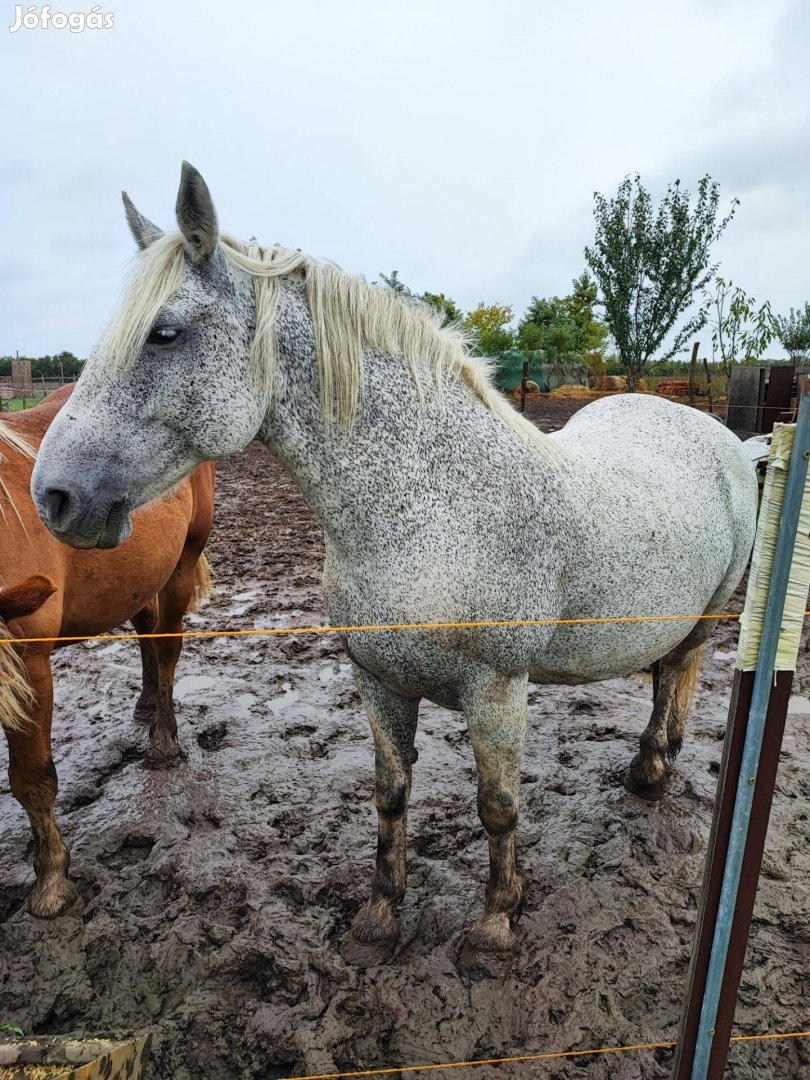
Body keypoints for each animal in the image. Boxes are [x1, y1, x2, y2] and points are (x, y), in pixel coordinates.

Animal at [0, 384, 216, 915]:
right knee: (146, 632)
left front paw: (51, 879)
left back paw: (163, 738)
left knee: (167, 646)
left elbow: (32, 777)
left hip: (180, 565)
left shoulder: (28, 664)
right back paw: (146, 704)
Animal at [30, 164, 756, 967]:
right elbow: (390, 795)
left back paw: (652, 771)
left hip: (708, 616)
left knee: (677, 673)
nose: (54, 497)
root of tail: (718, 435)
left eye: (164, 332)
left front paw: (495, 923)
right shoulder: (376, 679)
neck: (430, 510)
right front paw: (380, 916)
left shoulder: (497, 691)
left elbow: (497, 807)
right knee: (664, 674)